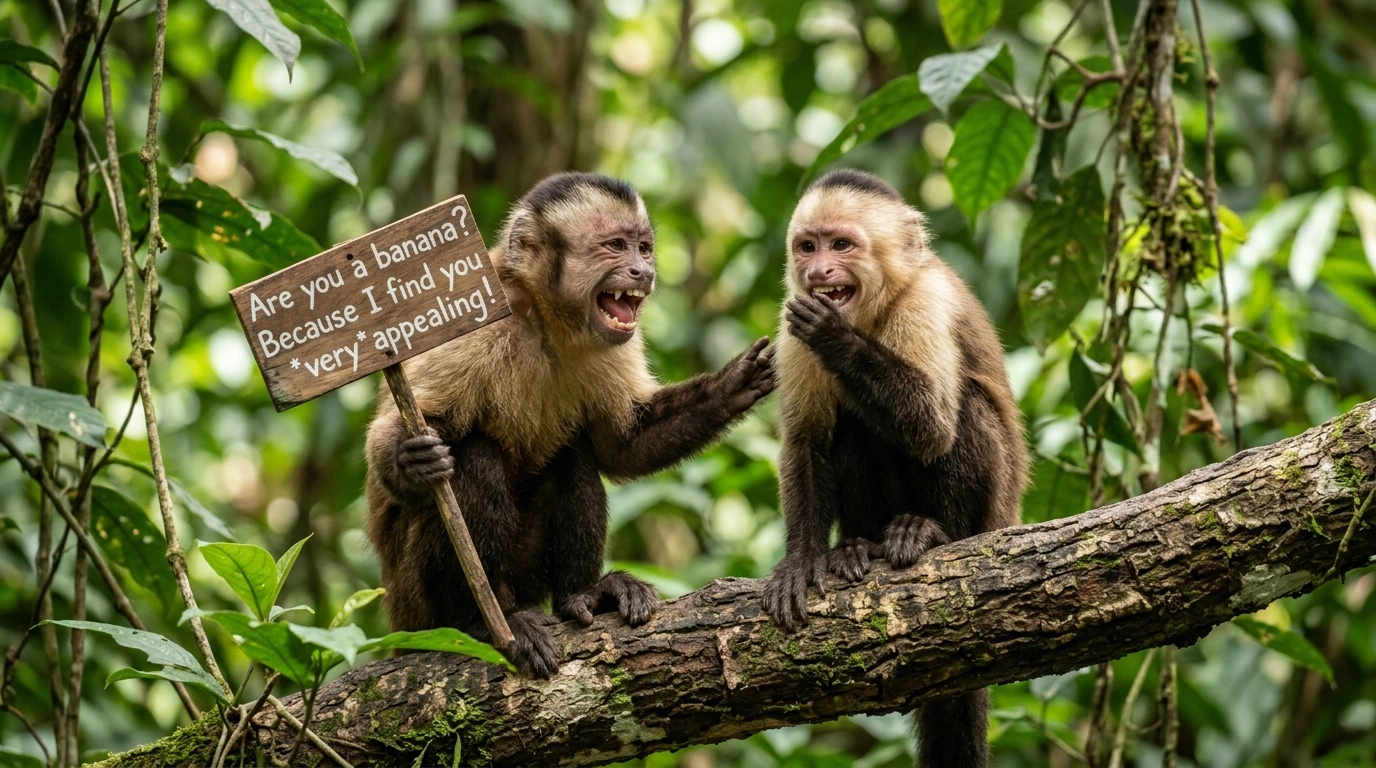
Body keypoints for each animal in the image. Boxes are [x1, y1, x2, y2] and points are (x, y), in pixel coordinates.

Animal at [366, 172, 775, 677]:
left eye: (644, 248)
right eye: (616, 246)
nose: (643, 272)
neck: (545, 318)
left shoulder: (618, 343)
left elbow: (621, 446)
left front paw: (733, 384)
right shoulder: (472, 328)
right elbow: (395, 438)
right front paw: (411, 460)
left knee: (573, 456)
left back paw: (582, 595)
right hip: (414, 604)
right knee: (477, 458)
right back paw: (480, 623)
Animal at [760, 169, 1027, 768]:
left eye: (841, 245)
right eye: (807, 247)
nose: (818, 272)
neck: (874, 312)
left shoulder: (926, 302)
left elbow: (930, 423)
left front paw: (835, 337)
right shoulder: (789, 324)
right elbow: (807, 442)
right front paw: (802, 559)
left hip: (994, 512)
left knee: (961, 407)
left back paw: (933, 532)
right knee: (850, 427)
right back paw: (857, 544)